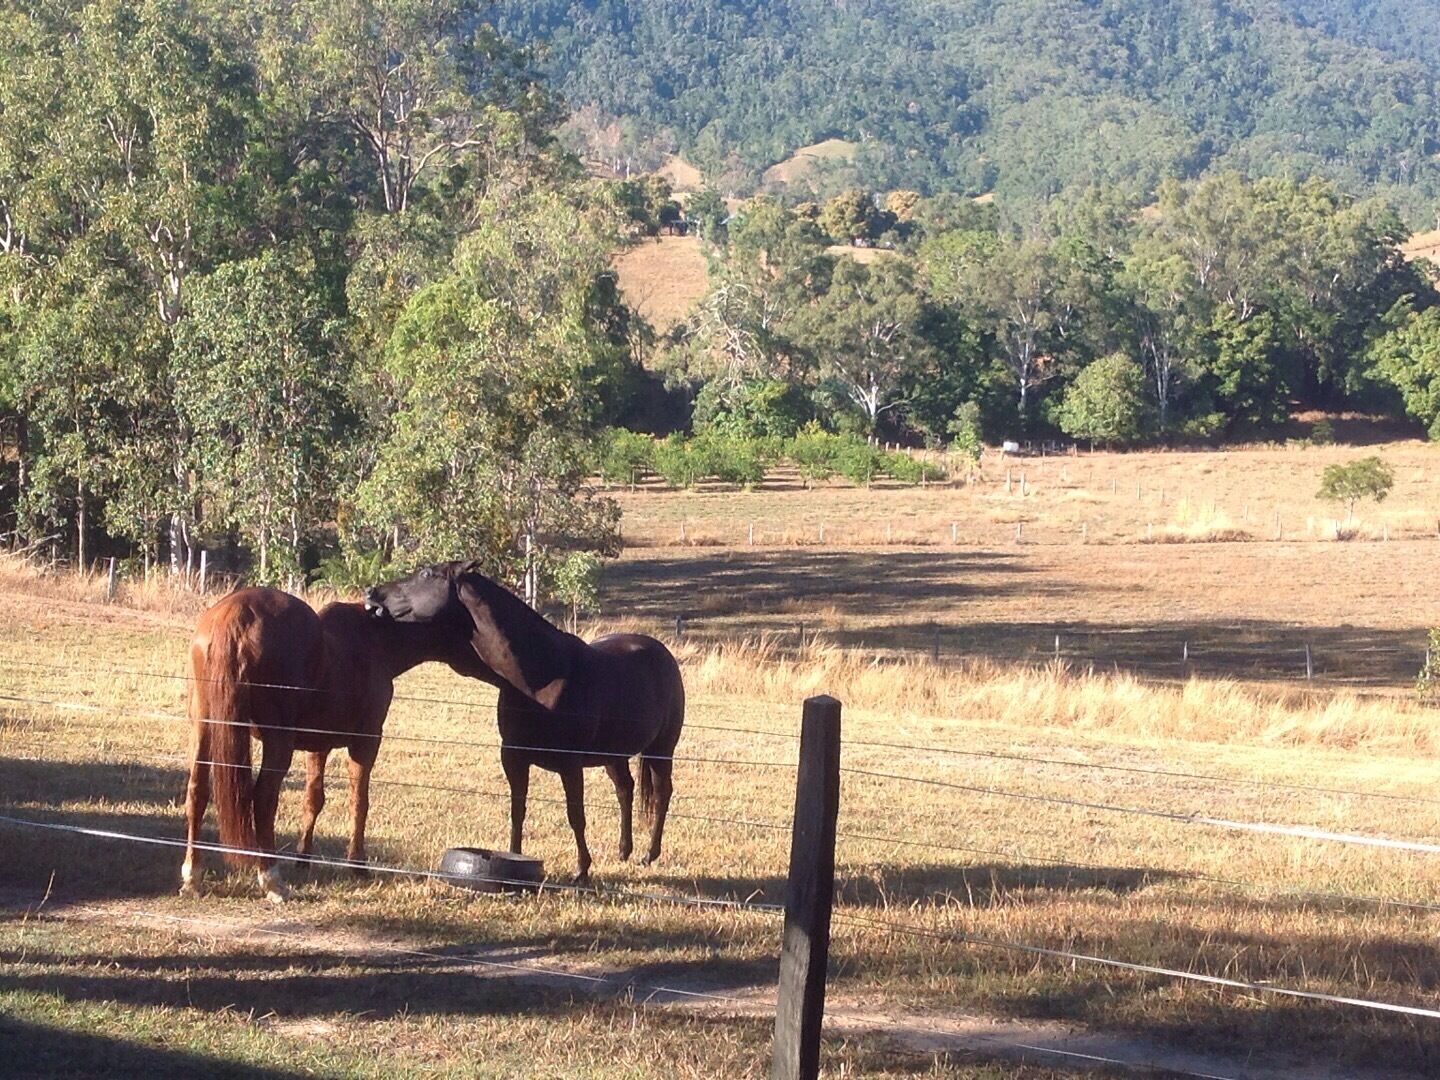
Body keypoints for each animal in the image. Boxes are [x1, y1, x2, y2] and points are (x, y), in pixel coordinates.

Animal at [182, 587, 498, 898]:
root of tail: (238, 613)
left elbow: (313, 799)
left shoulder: (317, 746)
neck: (374, 639)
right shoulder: (366, 741)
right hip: (277, 740)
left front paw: (304, 857)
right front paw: (357, 864)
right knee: (263, 798)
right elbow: (359, 801)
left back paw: (193, 877)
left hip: (204, 727)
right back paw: (271, 880)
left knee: (198, 791)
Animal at [368, 561, 688, 881]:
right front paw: (513, 860)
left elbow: (576, 815)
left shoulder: (570, 764)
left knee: (662, 793)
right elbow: (517, 810)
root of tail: (662, 652)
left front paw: (582, 870)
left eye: (426, 574)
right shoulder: (513, 757)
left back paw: (649, 854)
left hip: (661, 749)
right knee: (625, 789)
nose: (372, 593)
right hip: (613, 754)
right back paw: (624, 851)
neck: (540, 676)